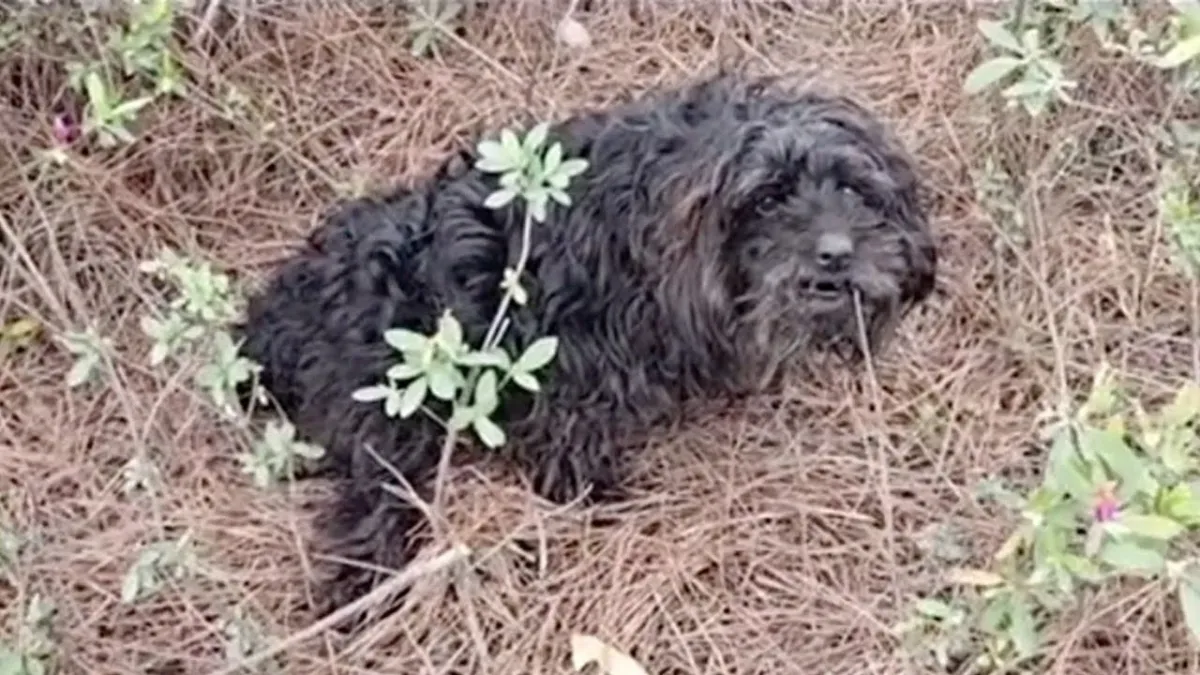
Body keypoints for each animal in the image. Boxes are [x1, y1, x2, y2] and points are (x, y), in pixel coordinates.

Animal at [234, 70, 940, 619]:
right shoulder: (572, 370)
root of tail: (278, 312)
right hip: (390, 399)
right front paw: (601, 501)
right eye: (767, 200)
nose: (837, 253)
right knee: (370, 495)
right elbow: (571, 447)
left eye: (850, 188)